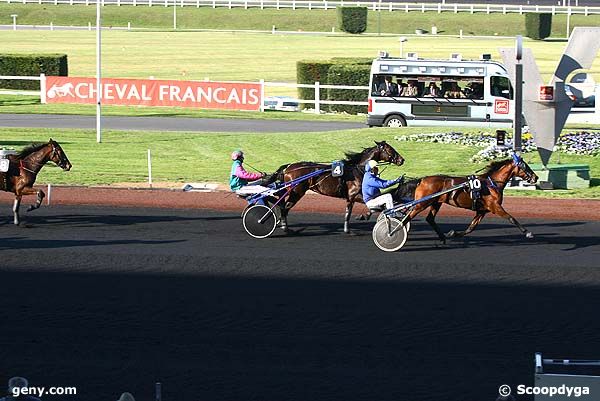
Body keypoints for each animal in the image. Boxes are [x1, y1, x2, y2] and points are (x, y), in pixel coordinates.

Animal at [274, 141, 406, 233]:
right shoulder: (353, 195)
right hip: (297, 192)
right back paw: (285, 228)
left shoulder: (353, 197)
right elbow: (352, 212)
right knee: (285, 208)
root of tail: (288, 168)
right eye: (390, 149)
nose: (402, 160)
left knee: (283, 206)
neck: (358, 170)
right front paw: (351, 226)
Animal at [394, 152, 540, 241]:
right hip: (422, 203)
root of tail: (422, 180)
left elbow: (471, 227)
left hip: (436, 202)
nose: (536, 177)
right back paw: (395, 231)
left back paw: (442, 237)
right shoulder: (494, 206)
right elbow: (511, 218)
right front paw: (528, 232)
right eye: (525, 166)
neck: (491, 183)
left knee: (430, 219)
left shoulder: (482, 210)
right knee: (408, 217)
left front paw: (454, 233)